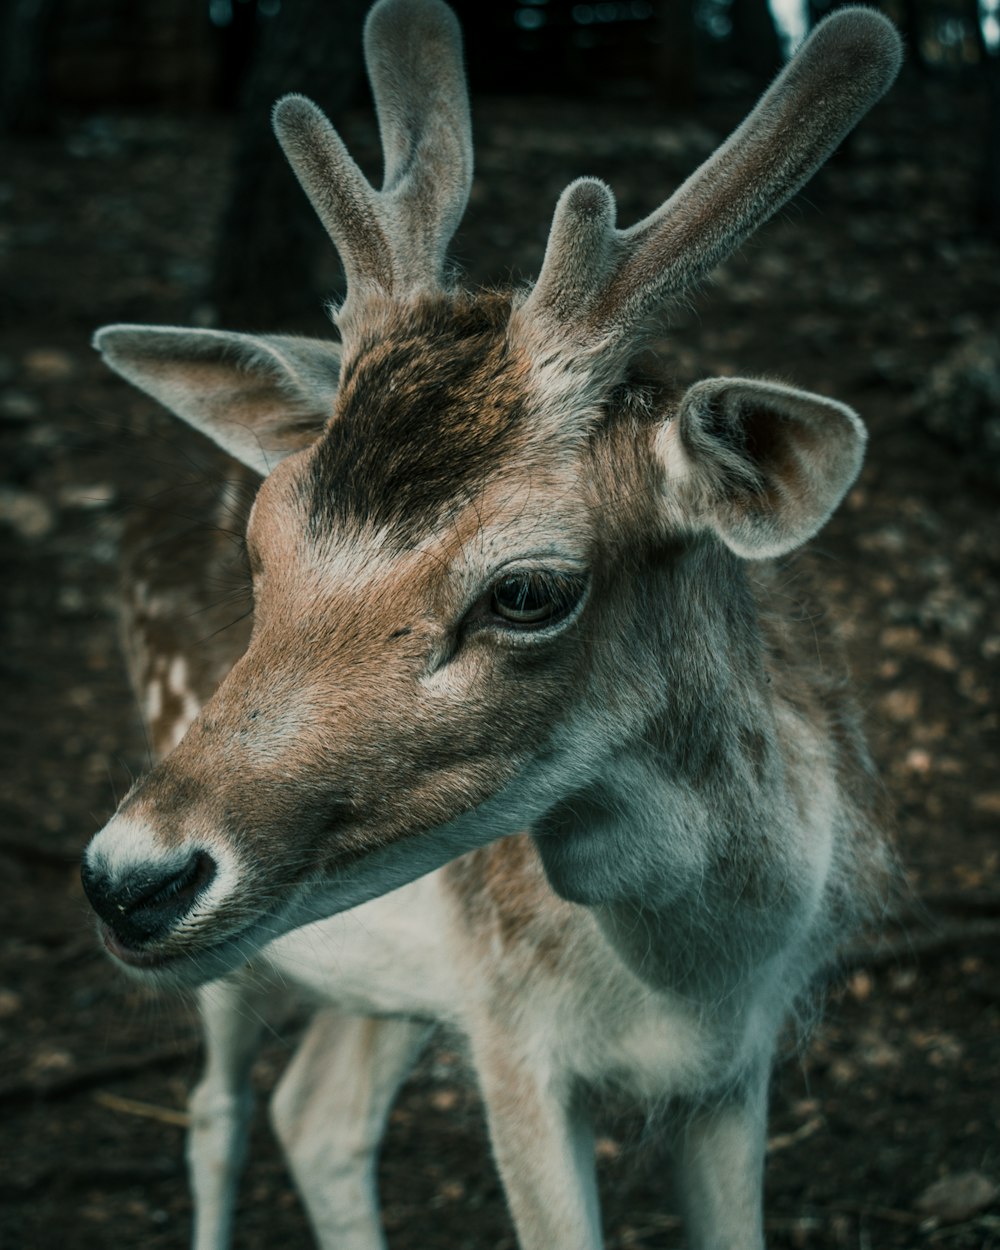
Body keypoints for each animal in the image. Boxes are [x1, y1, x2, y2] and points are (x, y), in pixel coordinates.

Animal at [78, 4, 900, 1245]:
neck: (697, 975)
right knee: (218, 1108)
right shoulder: (514, 1034)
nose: (130, 878)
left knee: (317, 1110)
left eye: (526, 590)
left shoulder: (735, 1061)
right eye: (261, 542)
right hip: (250, 956)